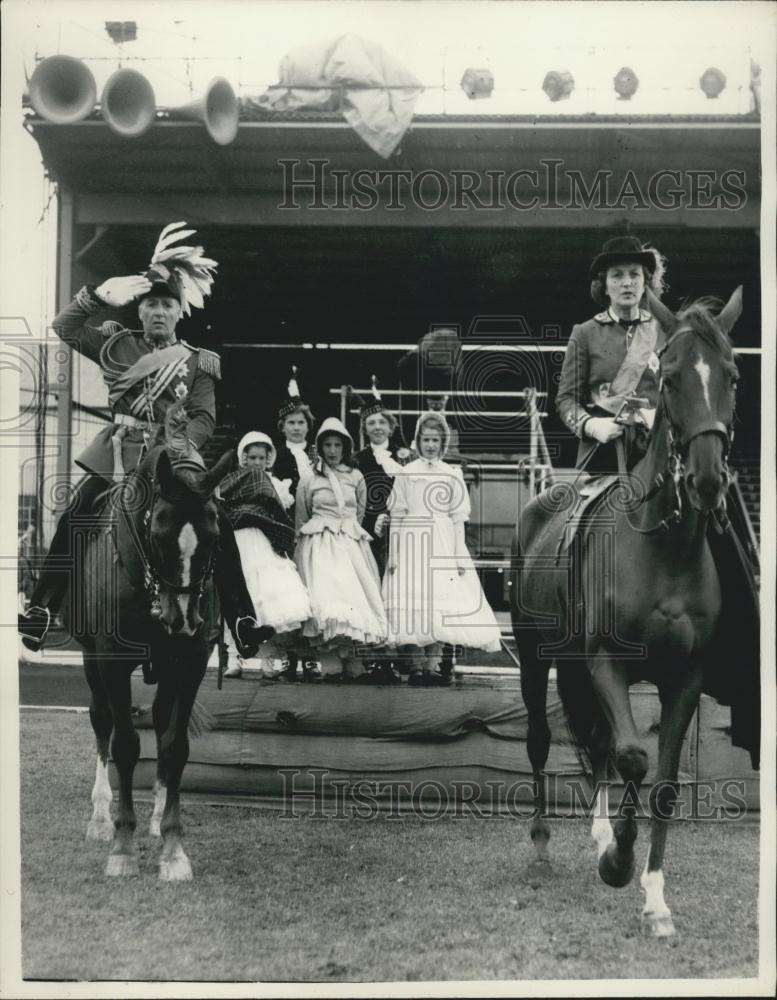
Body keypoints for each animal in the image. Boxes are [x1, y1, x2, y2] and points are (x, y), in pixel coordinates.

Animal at [74, 418, 232, 880]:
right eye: (159, 532)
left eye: (214, 535)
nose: (182, 620)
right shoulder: (111, 658)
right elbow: (126, 745)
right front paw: (122, 848)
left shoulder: (190, 661)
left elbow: (174, 746)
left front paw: (174, 849)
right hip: (91, 659)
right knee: (102, 722)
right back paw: (100, 818)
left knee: (161, 723)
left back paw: (159, 817)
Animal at [510, 288, 756, 936]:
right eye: (669, 379)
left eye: (732, 375)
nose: (705, 480)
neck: (662, 549)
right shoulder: (607, 664)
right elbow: (631, 757)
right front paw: (619, 862)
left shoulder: (685, 678)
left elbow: (662, 781)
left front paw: (653, 896)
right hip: (535, 659)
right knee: (542, 741)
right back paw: (542, 849)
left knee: (594, 743)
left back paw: (598, 836)